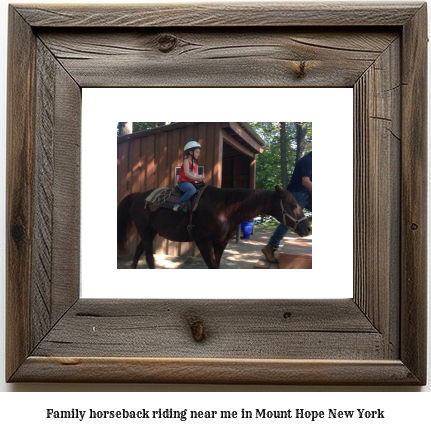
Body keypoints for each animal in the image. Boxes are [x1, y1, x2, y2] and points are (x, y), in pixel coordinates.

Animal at [117, 186, 310, 270]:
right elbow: (211, 266)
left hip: (150, 232)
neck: (224, 208)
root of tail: (138, 196)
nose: (308, 228)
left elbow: (217, 266)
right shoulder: (203, 243)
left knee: (139, 250)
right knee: (149, 256)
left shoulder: (221, 243)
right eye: (293, 205)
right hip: (146, 232)